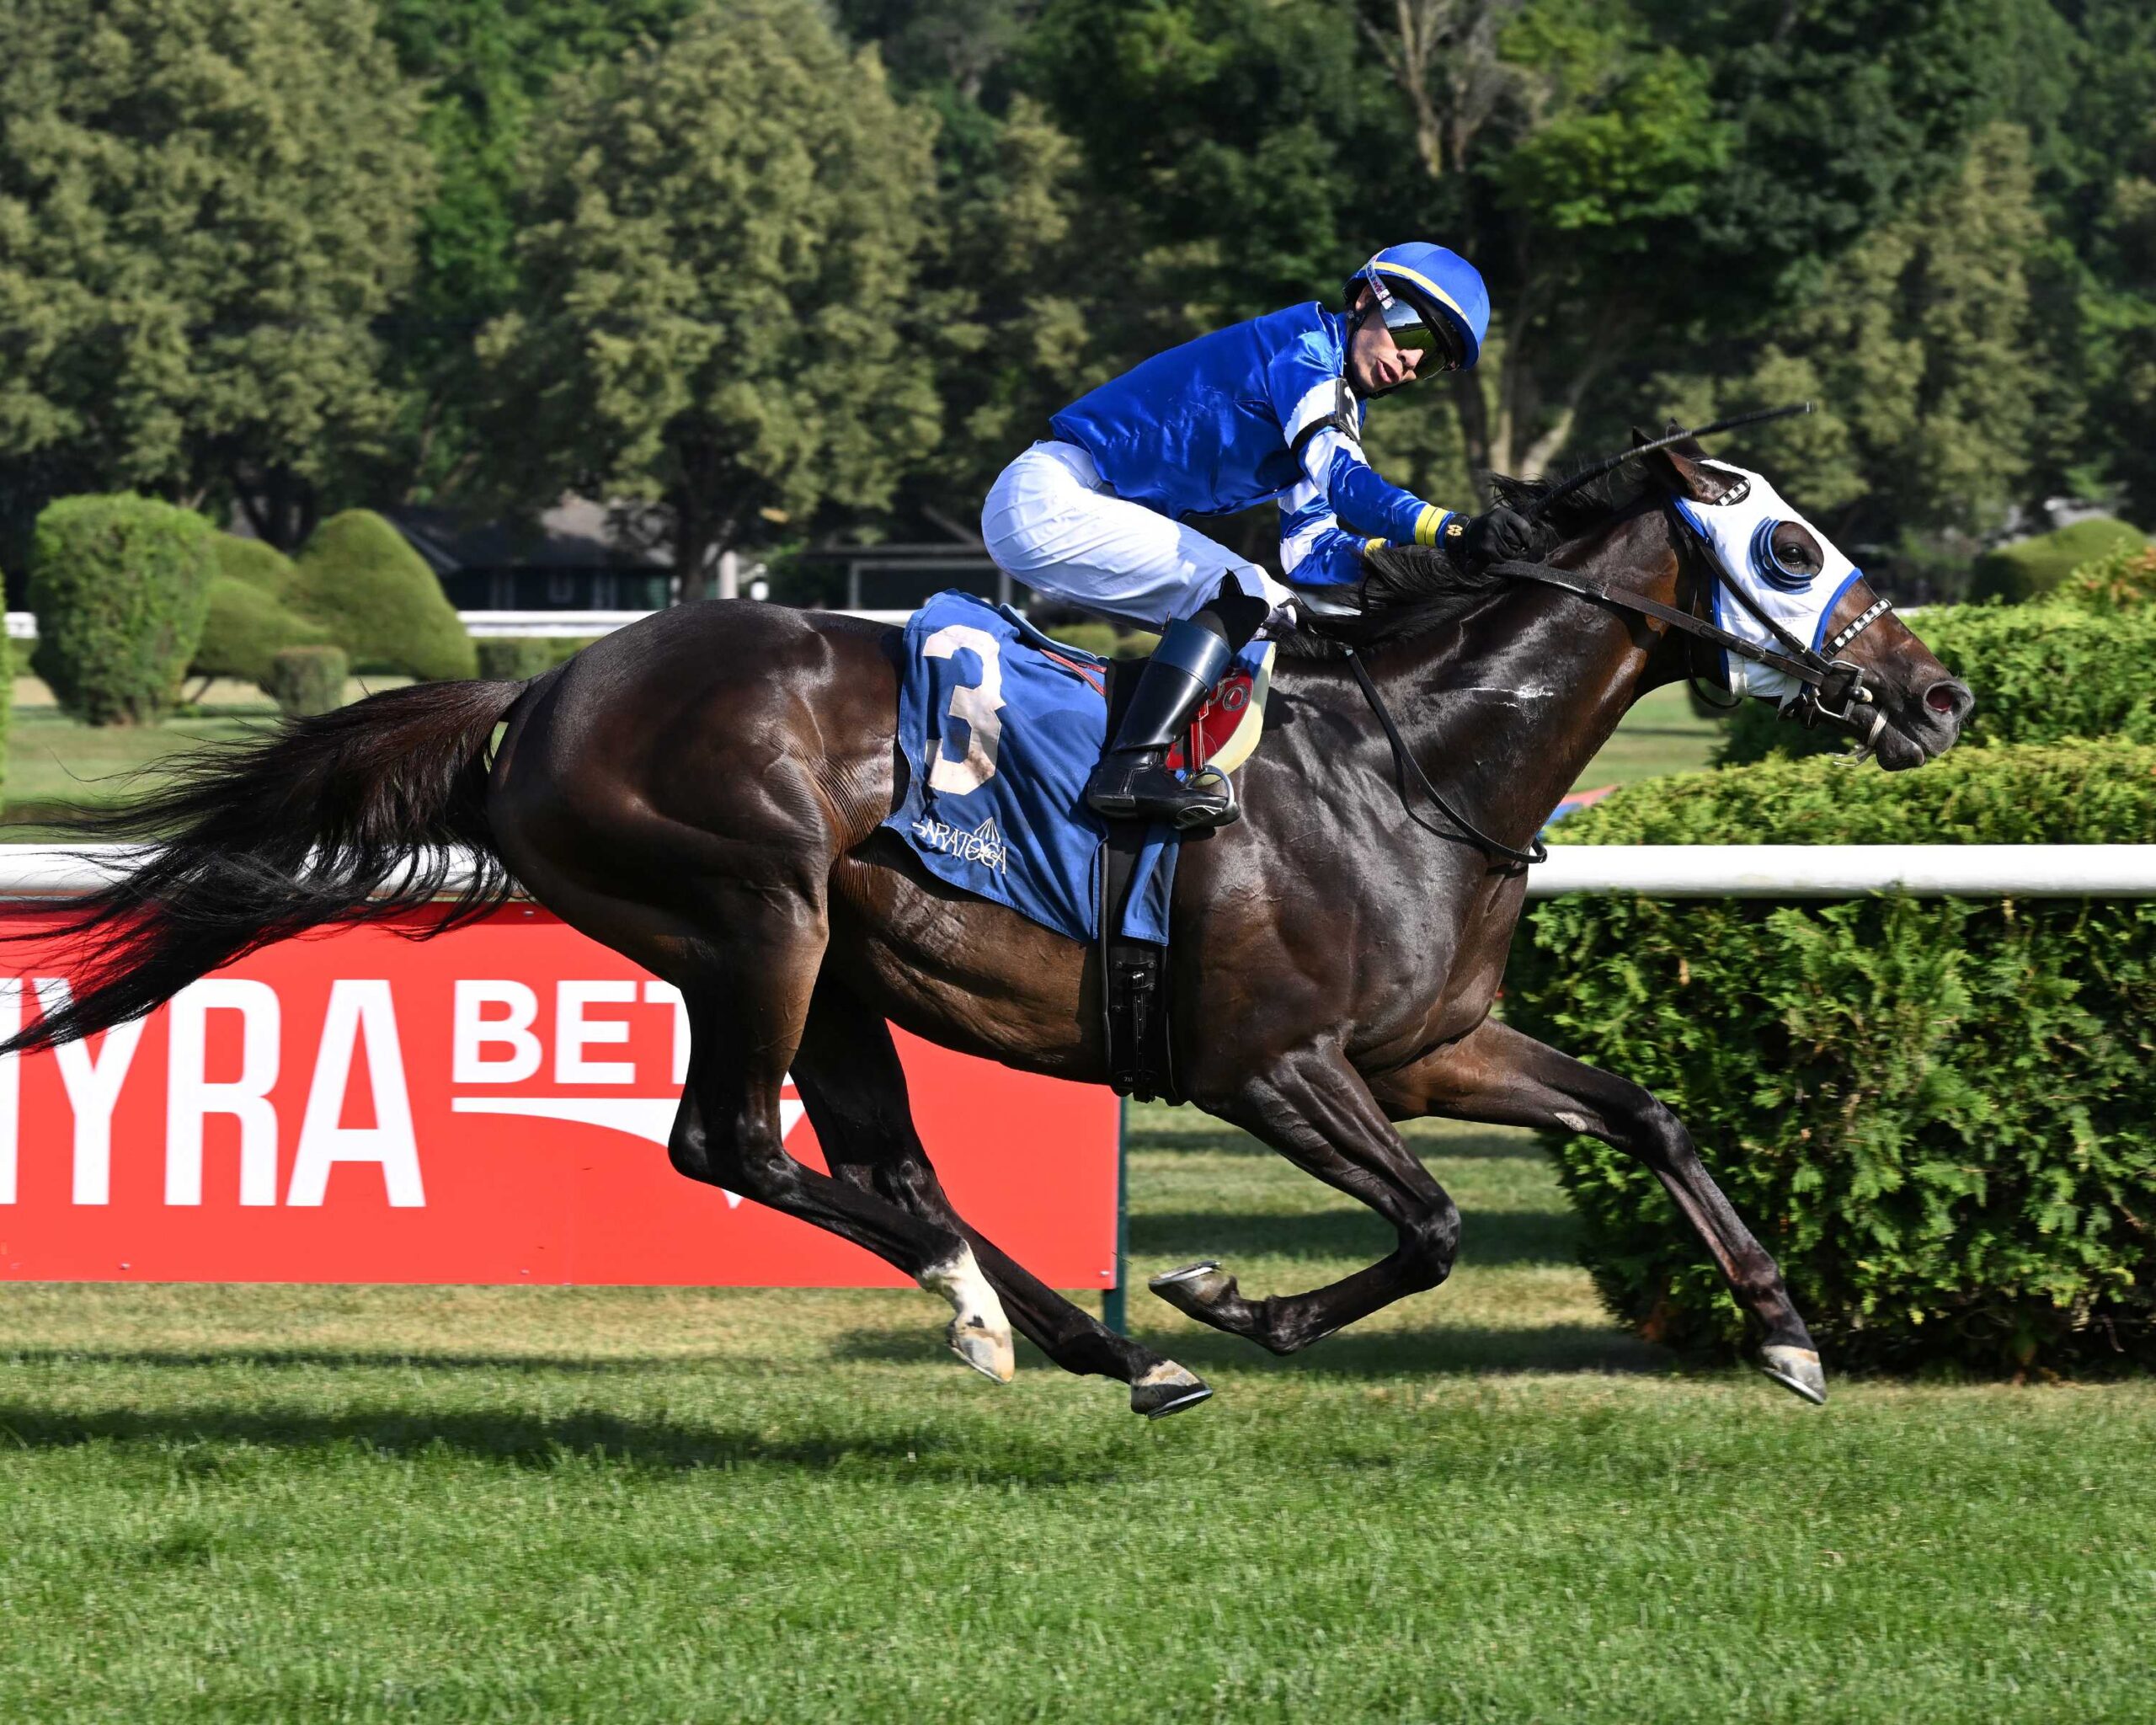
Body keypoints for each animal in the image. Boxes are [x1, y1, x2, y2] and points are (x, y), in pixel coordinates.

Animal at [8, 430, 1971, 1416]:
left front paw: (1787, 1331)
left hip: (829, 964)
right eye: (1789, 551)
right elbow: (1423, 1228)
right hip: (754, 916)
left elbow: (1649, 1112)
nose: (1938, 694)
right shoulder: (1270, 1067)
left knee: (880, 1161)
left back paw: (1045, 1327)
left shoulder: (1430, 1047)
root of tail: (546, 686)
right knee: (733, 1145)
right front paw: (1230, 1296)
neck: (1415, 763)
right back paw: (1081, 1329)